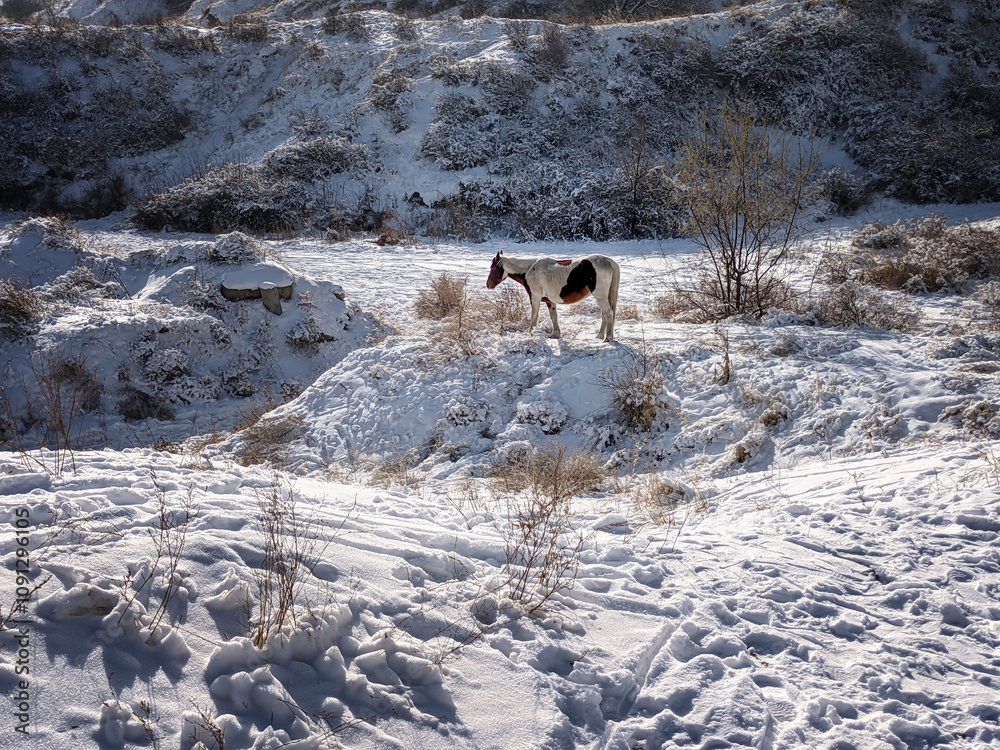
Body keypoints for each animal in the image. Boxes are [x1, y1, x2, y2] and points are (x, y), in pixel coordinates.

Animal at [486, 252, 620, 341]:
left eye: (493, 267)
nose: (488, 285)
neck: (529, 269)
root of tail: (609, 261)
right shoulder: (549, 301)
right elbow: (553, 316)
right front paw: (555, 335)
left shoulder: (535, 298)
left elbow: (534, 316)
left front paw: (531, 333)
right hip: (604, 297)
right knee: (605, 314)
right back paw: (600, 336)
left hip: (600, 296)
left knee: (608, 313)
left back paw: (608, 338)